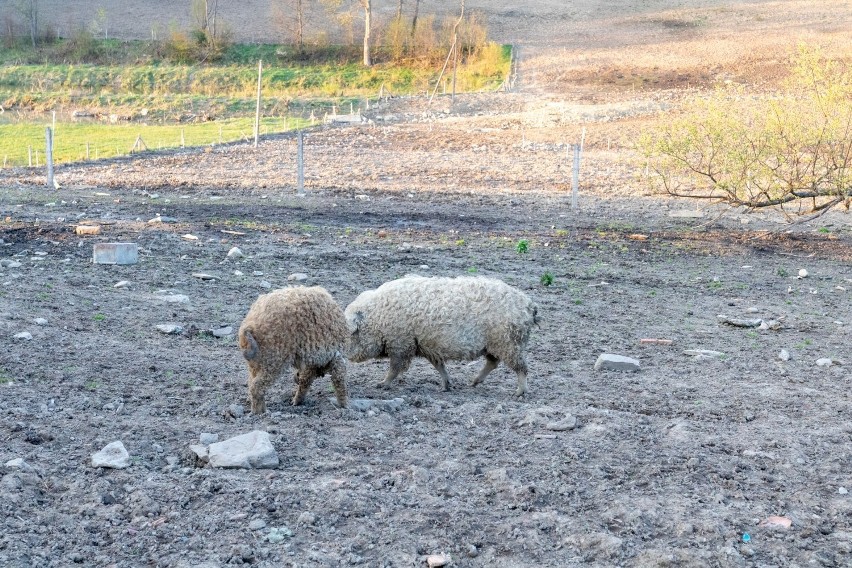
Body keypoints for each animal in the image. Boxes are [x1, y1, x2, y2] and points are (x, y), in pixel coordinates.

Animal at [342, 276, 536, 394]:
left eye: (349, 334)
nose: (344, 357)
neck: (377, 318)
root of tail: (529, 305)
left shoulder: (401, 343)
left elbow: (395, 368)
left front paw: (381, 384)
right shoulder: (426, 346)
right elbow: (439, 366)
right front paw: (446, 386)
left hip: (508, 342)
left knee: (521, 368)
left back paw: (520, 392)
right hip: (496, 344)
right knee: (493, 362)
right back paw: (473, 383)